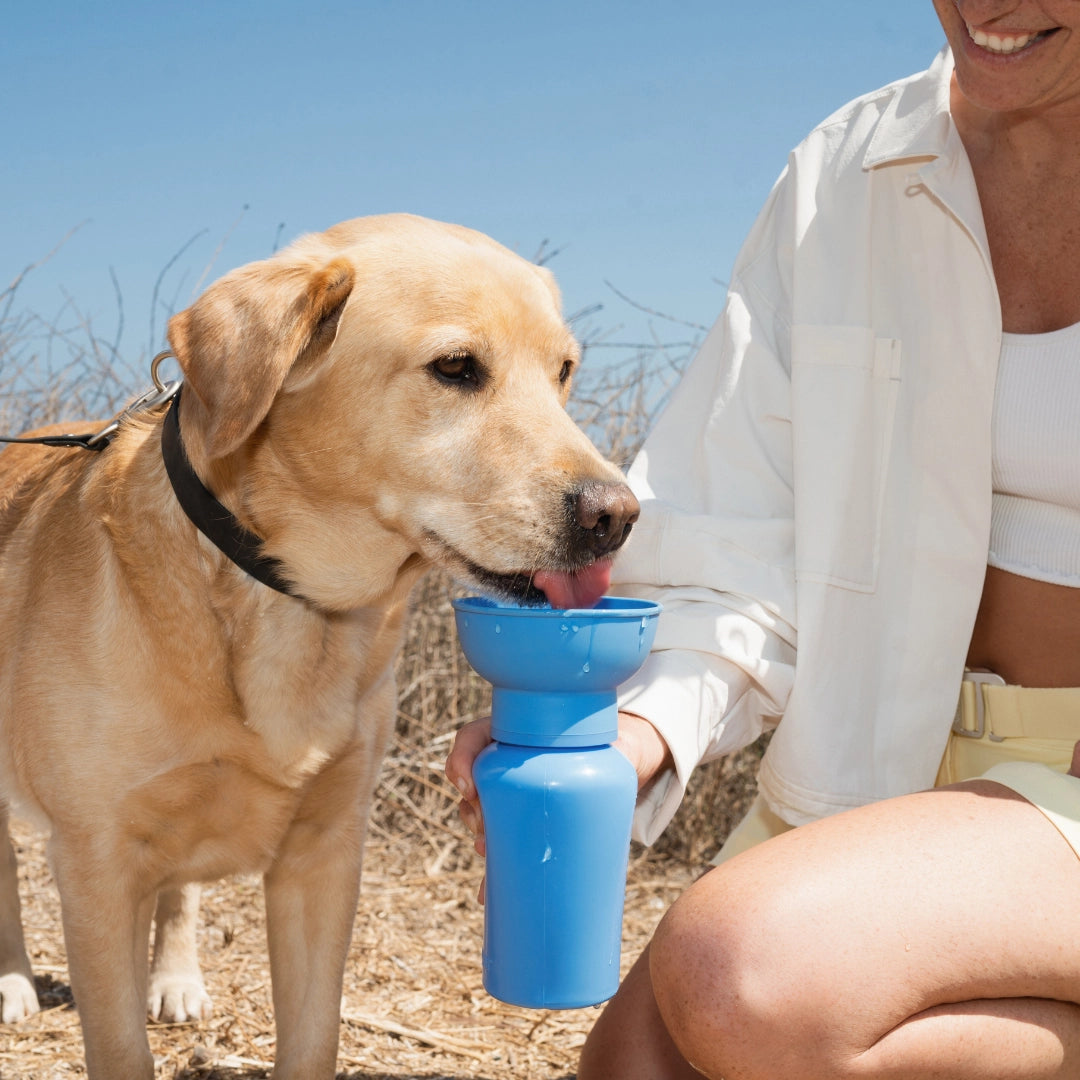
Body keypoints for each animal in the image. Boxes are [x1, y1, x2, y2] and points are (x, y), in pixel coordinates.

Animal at [0, 212, 635, 1080]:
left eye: (564, 371)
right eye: (456, 367)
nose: (617, 515)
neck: (287, 597)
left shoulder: (324, 858)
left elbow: (312, 1037)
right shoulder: (95, 864)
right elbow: (120, 1045)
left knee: (178, 891)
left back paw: (175, 977)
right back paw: (12, 981)